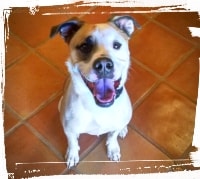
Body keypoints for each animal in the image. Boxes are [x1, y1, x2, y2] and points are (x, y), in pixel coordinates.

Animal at [50, 15, 139, 168]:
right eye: (85, 46)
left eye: (117, 45)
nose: (103, 65)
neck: (97, 107)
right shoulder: (69, 129)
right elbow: (72, 142)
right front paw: (72, 155)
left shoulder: (115, 126)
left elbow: (112, 136)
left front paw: (113, 148)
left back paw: (123, 129)